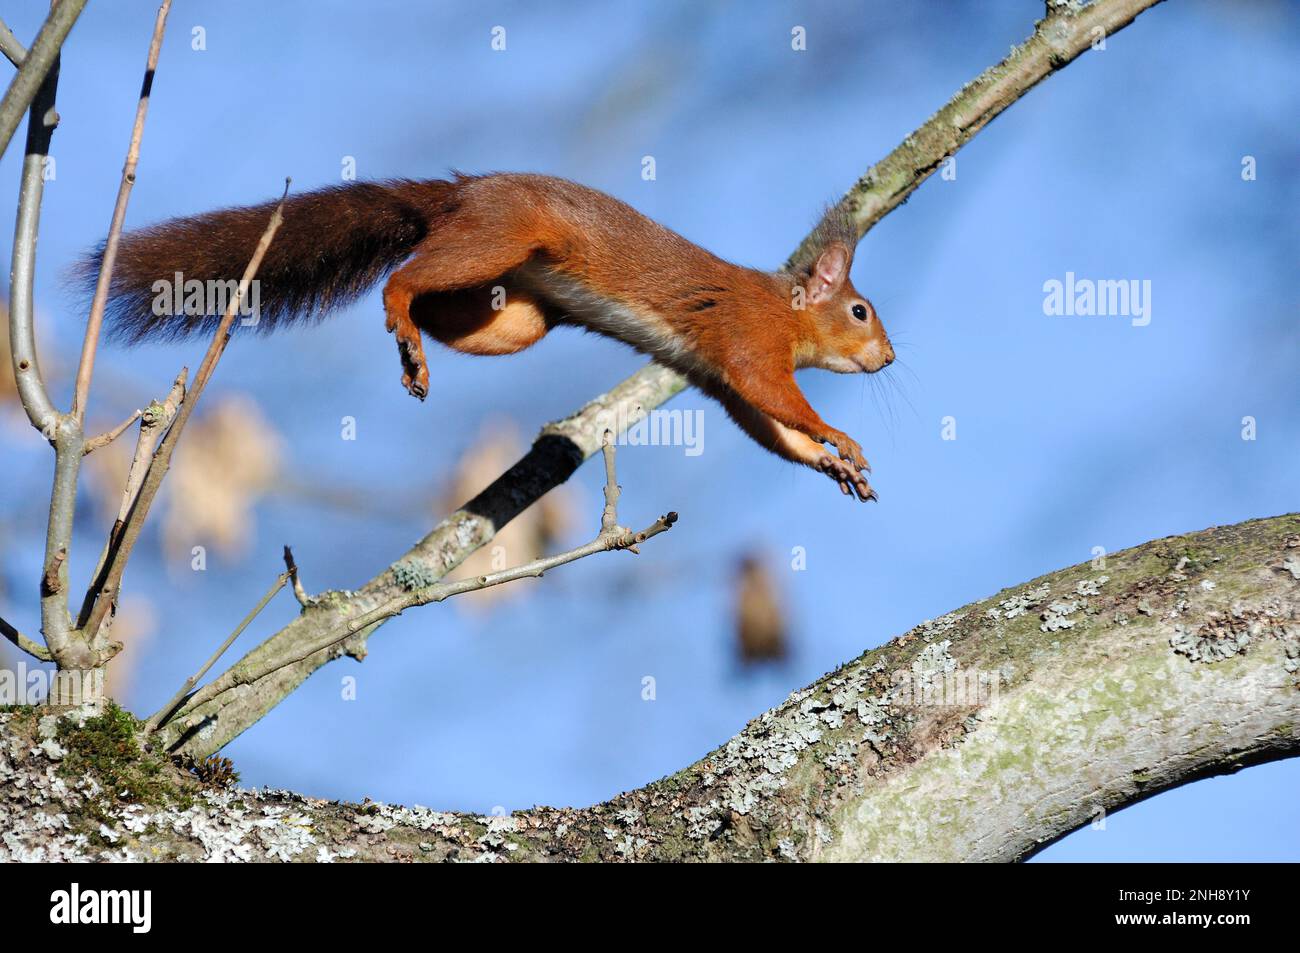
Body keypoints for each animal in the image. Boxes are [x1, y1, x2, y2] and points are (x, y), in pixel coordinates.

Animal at [88, 173, 893, 501]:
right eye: (861, 311)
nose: (888, 357)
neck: (789, 309)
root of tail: (465, 191)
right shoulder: (749, 338)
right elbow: (777, 396)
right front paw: (842, 438)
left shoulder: (715, 377)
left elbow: (768, 426)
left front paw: (830, 464)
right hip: (501, 235)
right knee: (403, 276)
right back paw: (401, 316)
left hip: (514, 315)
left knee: (446, 308)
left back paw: (413, 339)